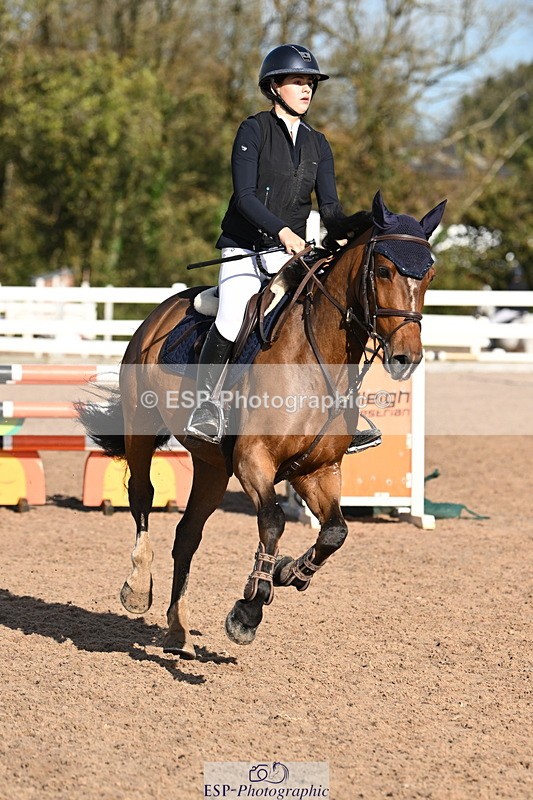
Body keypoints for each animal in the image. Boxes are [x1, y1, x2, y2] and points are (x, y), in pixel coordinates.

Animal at [78, 190, 446, 659]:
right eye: (383, 270)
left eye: (429, 274)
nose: (405, 359)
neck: (318, 359)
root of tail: (162, 311)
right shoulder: (254, 460)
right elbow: (272, 521)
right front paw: (248, 610)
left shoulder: (317, 470)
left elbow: (336, 531)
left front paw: (290, 572)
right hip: (142, 430)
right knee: (142, 496)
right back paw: (138, 588)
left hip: (212, 466)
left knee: (188, 534)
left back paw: (178, 630)